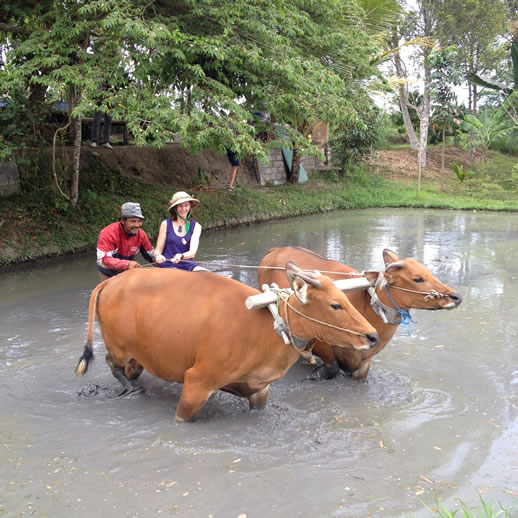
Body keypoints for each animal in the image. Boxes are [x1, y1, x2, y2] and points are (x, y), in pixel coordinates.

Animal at [75, 264, 378, 422]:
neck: (264, 328)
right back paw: (131, 389)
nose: (372, 335)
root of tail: (112, 283)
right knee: (111, 363)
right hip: (119, 347)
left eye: (346, 298)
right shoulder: (196, 383)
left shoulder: (260, 389)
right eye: (336, 305)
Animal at [258, 248, 466, 382]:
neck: (365, 306)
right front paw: (314, 373)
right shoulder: (322, 343)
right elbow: (332, 369)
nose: (456, 297)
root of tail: (274, 250)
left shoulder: (363, 364)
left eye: (428, 272)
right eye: (418, 278)